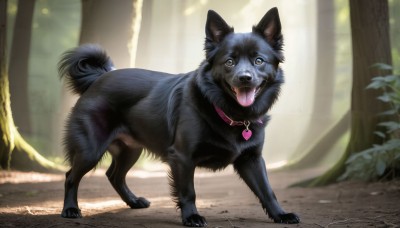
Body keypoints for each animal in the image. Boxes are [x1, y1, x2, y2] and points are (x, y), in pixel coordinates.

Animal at [58, 7, 296, 226]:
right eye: (229, 62)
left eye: (259, 61)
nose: (244, 78)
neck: (228, 111)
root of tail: (99, 77)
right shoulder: (182, 157)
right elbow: (188, 191)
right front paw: (191, 216)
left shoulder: (252, 159)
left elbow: (267, 190)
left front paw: (281, 214)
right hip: (91, 150)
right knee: (71, 176)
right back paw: (70, 209)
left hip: (131, 150)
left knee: (114, 176)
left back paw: (133, 202)